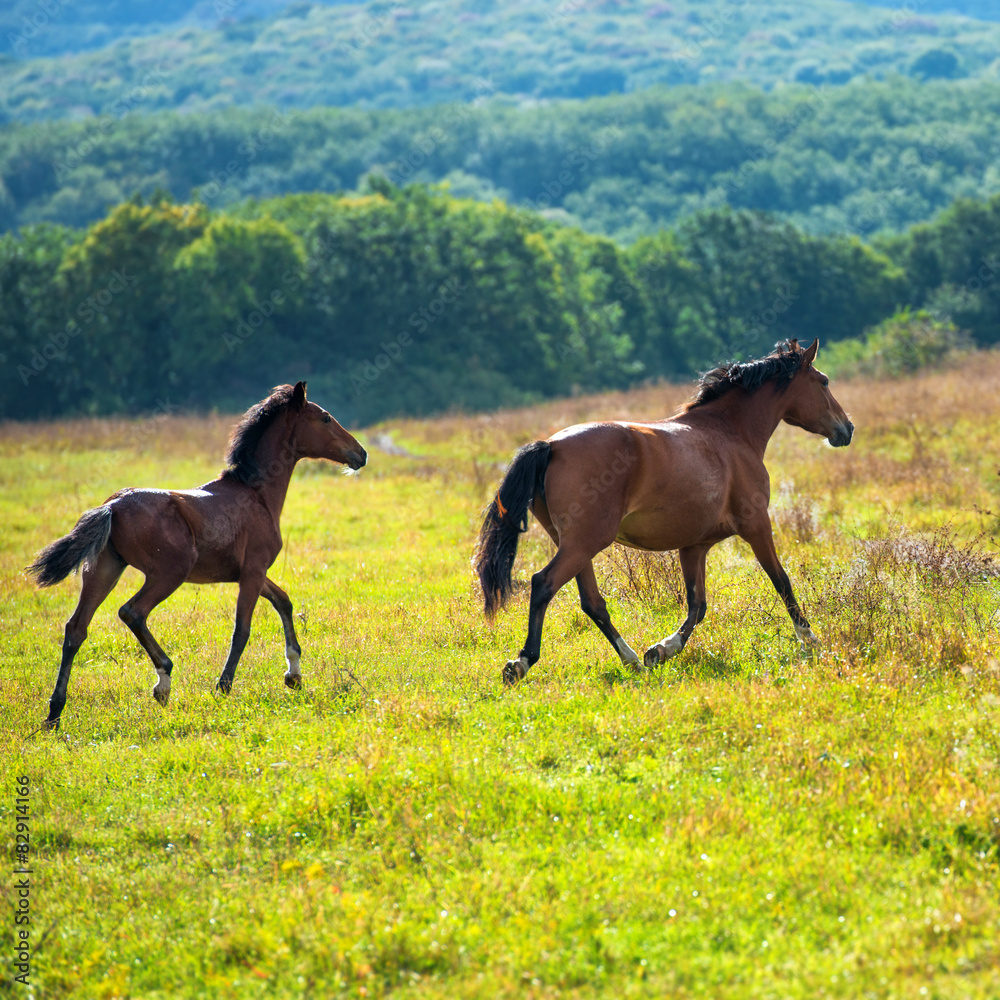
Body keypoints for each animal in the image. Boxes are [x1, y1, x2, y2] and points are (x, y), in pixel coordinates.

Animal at [28, 381, 367, 729]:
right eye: (325, 418)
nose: (361, 453)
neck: (256, 494)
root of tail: (112, 505)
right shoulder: (253, 571)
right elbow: (242, 629)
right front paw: (223, 686)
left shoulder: (250, 572)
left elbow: (284, 601)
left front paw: (294, 674)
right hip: (169, 572)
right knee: (132, 612)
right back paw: (163, 681)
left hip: (104, 568)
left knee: (76, 629)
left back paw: (54, 712)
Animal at [475, 339, 853, 685]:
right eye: (823, 381)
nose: (847, 429)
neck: (730, 434)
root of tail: (551, 446)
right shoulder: (757, 525)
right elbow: (781, 582)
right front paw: (810, 639)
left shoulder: (694, 546)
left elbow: (698, 606)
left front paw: (660, 651)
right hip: (585, 542)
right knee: (543, 584)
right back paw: (521, 663)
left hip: (572, 543)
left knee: (592, 602)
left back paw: (632, 661)